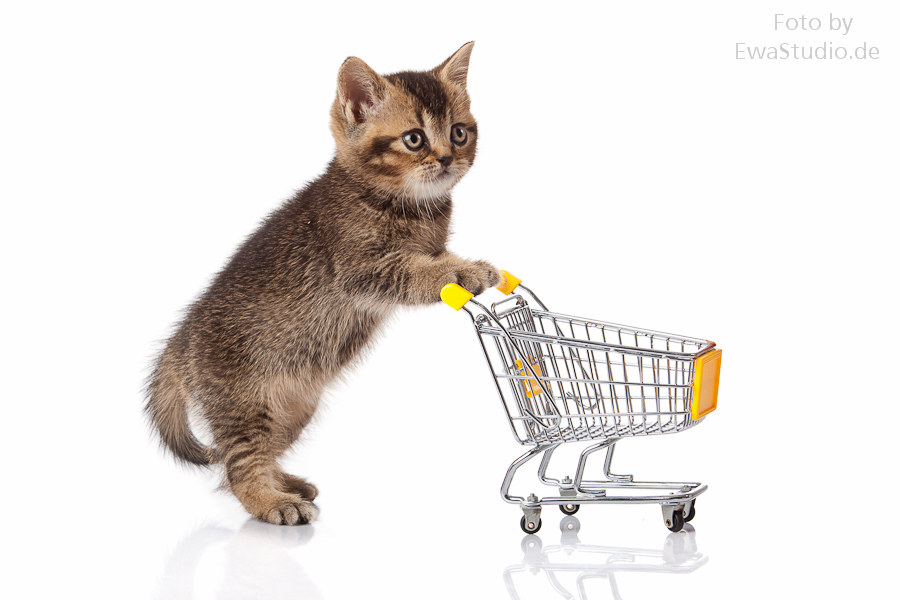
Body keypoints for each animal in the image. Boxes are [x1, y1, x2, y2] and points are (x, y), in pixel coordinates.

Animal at [147, 43, 500, 524]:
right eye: (414, 139)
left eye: (459, 132)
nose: (448, 157)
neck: (401, 206)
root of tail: (182, 340)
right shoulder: (362, 269)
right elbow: (419, 272)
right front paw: (465, 272)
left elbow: (432, 257)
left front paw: (463, 264)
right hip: (246, 404)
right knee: (237, 467)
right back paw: (272, 502)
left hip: (294, 408)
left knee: (244, 461)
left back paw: (285, 483)